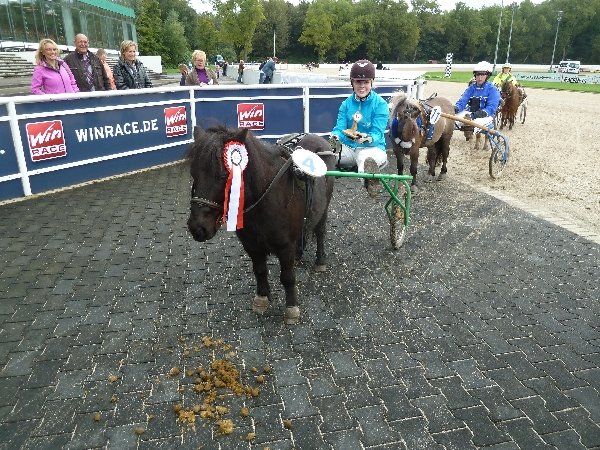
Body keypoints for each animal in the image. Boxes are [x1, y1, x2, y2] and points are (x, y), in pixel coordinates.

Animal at [185, 125, 335, 325]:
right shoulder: (252, 246)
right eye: (193, 173)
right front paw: (262, 298)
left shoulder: (285, 246)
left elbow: (287, 277)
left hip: (324, 208)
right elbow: (260, 271)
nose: (198, 227)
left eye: (224, 175)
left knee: (320, 232)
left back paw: (320, 260)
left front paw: (291, 307)